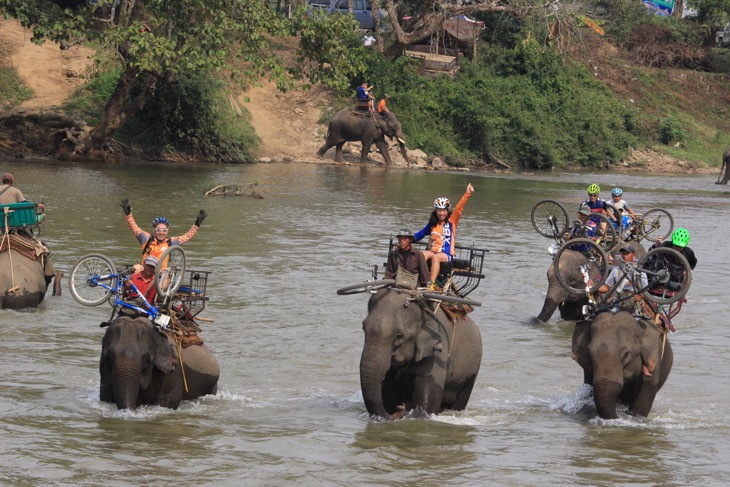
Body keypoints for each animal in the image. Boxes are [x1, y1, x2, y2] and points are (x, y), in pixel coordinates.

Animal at [360, 290, 484, 420]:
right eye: (363, 328)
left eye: (399, 336)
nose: (401, 407)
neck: (423, 309)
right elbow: (387, 394)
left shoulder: (438, 350)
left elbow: (427, 398)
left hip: (472, 370)